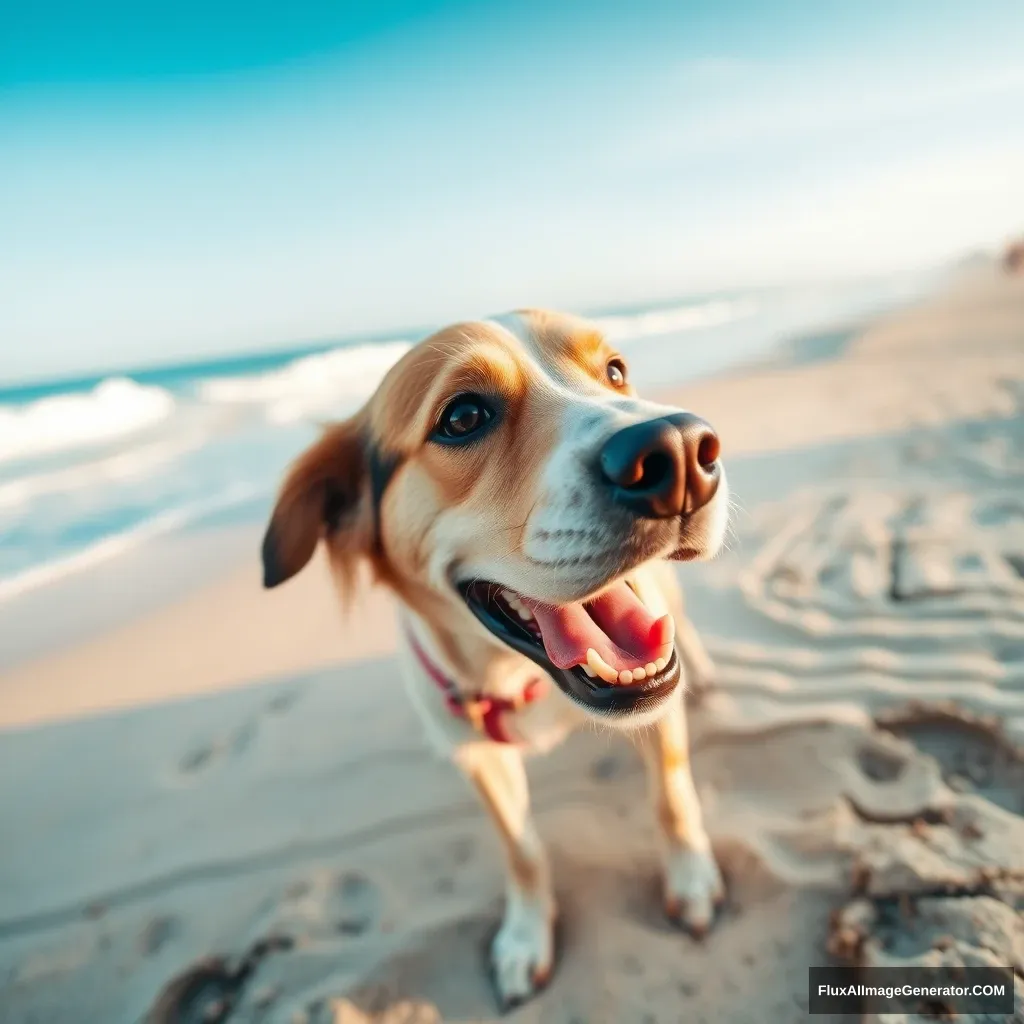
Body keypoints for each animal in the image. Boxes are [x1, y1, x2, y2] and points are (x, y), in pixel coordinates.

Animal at [262, 309, 729, 1007]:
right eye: (462, 417)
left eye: (615, 371)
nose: (677, 449)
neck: (518, 677)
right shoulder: (478, 756)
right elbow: (522, 849)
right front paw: (526, 937)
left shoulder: (657, 711)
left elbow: (671, 792)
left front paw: (691, 875)